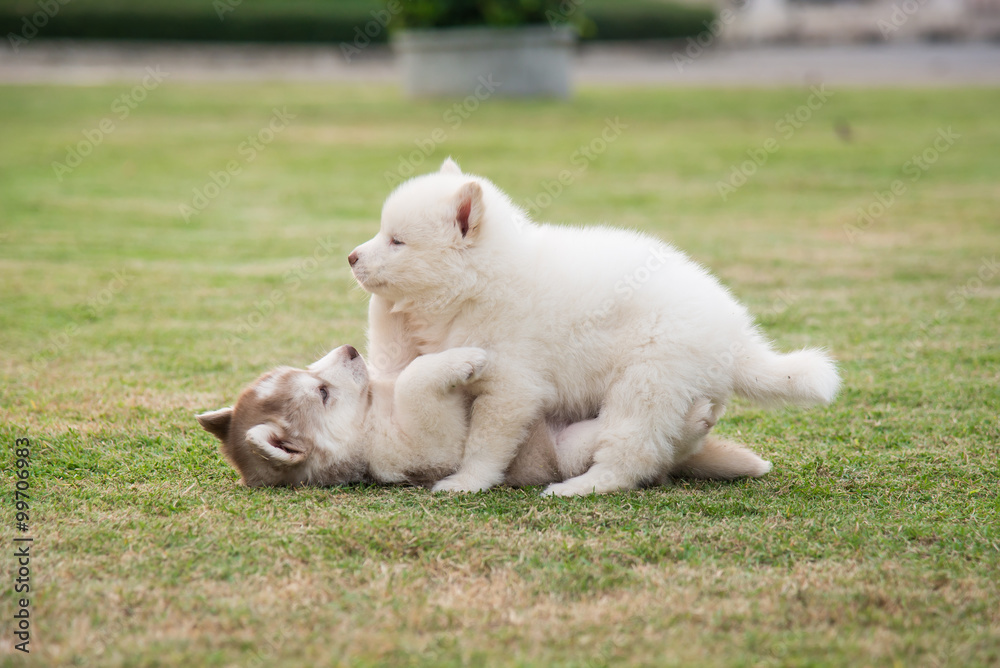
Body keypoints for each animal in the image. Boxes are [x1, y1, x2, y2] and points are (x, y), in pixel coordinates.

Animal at [352, 160, 836, 496]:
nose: (352, 257)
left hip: (648, 381)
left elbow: (485, 442)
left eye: (397, 241)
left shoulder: (513, 386)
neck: (481, 281)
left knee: (632, 454)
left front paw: (468, 481)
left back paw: (581, 487)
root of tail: (736, 338)